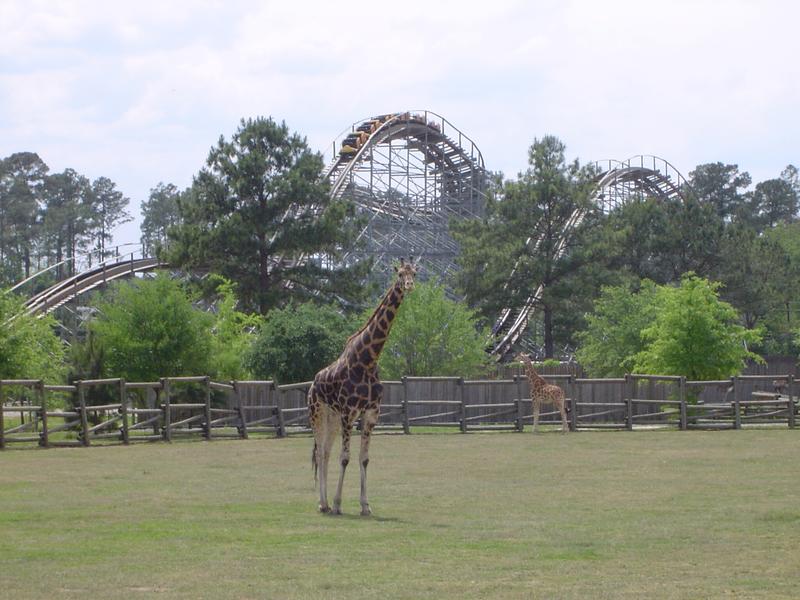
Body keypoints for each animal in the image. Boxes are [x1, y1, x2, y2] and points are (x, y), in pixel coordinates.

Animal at [306, 255, 418, 512]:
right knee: (320, 453)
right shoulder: (349, 413)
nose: (409, 285)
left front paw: (365, 505)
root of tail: (312, 384)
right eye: (400, 274)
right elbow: (345, 457)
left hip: (333, 417)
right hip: (317, 413)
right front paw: (338, 503)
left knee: (325, 451)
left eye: (414, 273)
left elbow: (364, 458)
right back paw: (323, 503)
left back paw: (325, 503)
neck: (368, 360)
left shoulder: (371, 414)